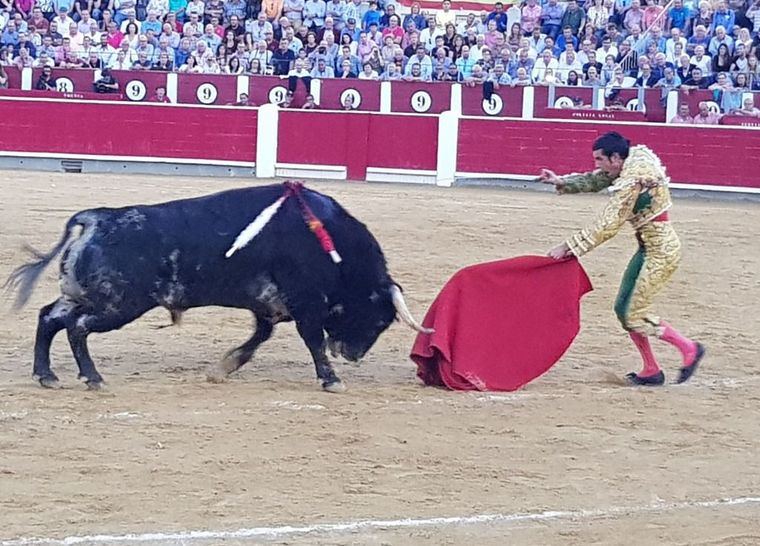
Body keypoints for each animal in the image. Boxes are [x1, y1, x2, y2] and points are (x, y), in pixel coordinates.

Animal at [5, 183, 430, 392]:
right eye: (380, 320)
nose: (352, 355)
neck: (331, 242)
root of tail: (95, 218)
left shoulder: (268, 306)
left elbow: (258, 338)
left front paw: (224, 367)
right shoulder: (305, 303)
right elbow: (312, 340)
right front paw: (331, 379)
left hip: (84, 295)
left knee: (50, 318)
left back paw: (47, 376)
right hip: (117, 305)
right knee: (76, 327)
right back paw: (92, 378)